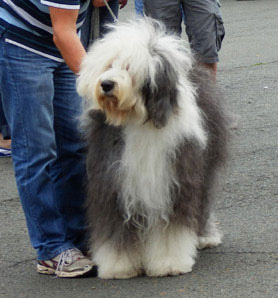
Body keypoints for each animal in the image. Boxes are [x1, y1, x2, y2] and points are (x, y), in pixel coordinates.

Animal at [76, 18, 228, 280]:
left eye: (129, 68)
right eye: (109, 65)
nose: (106, 84)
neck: (138, 118)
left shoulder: (172, 181)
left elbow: (169, 229)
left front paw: (169, 263)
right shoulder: (112, 182)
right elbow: (115, 228)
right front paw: (118, 266)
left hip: (205, 165)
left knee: (203, 201)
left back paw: (205, 237)